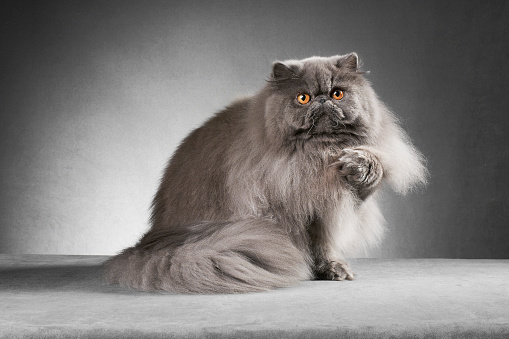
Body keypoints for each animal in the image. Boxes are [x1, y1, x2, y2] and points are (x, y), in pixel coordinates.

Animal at [102, 53, 424, 294]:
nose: (322, 100)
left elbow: (327, 241)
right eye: (303, 98)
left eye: (337, 93)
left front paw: (359, 164)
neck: (316, 157)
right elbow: (308, 243)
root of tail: (150, 241)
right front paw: (306, 266)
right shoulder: (287, 205)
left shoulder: (333, 204)